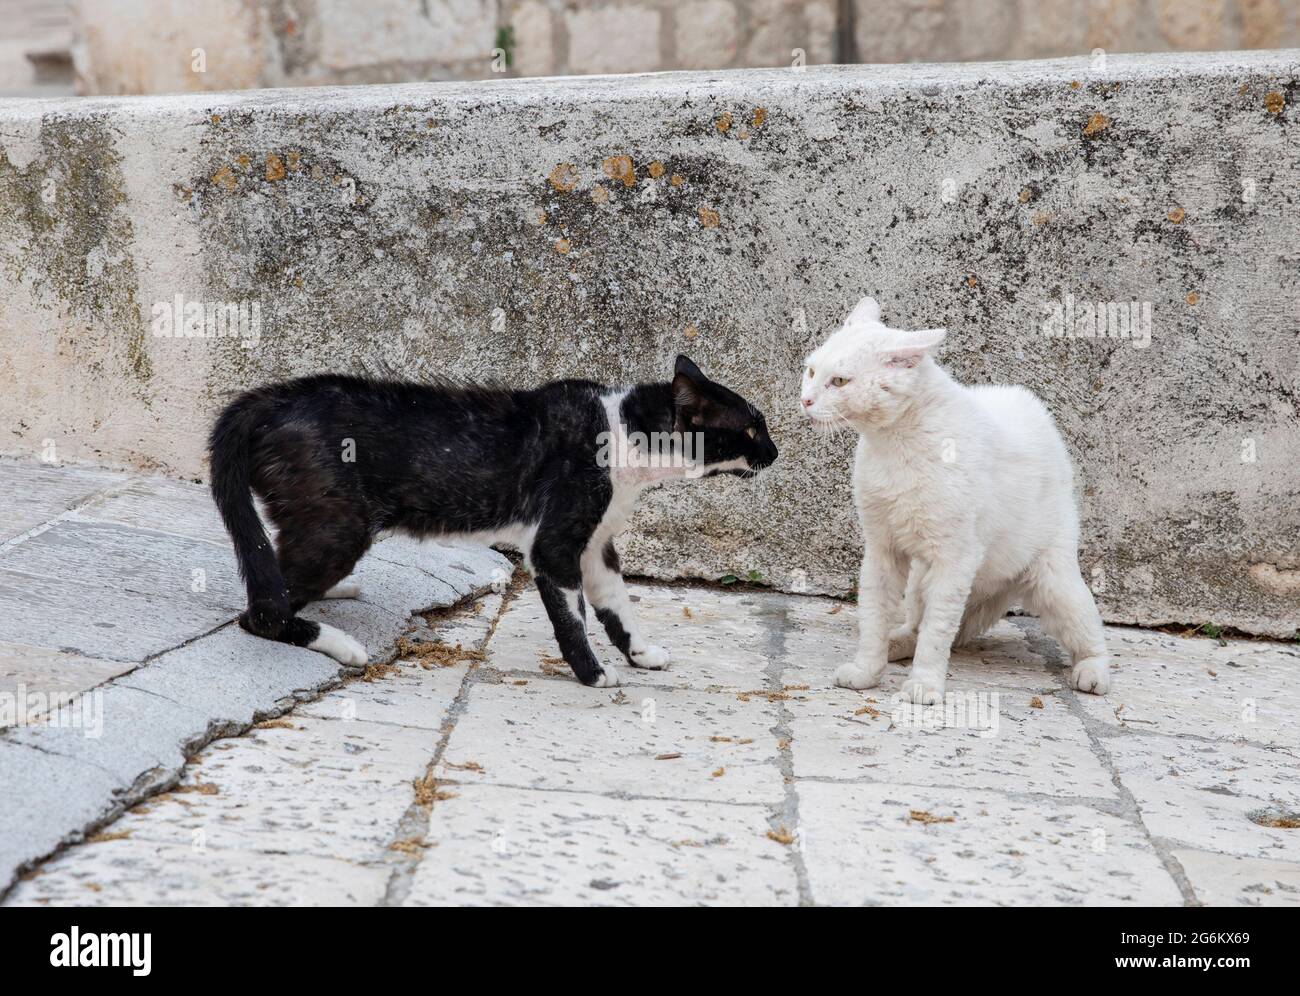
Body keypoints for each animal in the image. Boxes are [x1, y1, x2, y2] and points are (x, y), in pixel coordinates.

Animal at [209, 353, 774, 691]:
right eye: (751, 429)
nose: (774, 451)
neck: (622, 434)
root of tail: (268, 399)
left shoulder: (597, 546)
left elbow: (618, 605)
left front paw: (641, 653)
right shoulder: (555, 547)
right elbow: (574, 619)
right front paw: (594, 674)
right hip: (338, 528)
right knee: (261, 613)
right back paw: (340, 644)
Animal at [800, 296, 1107, 702]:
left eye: (839, 381)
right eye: (811, 371)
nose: (805, 400)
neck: (892, 443)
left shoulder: (954, 557)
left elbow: (937, 633)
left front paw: (924, 686)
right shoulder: (882, 549)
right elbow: (874, 616)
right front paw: (867, 669)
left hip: (1054, 581)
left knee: (1089, 630)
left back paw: (1093, 672)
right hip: (921, 579)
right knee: (916, 626)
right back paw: (896, 645)